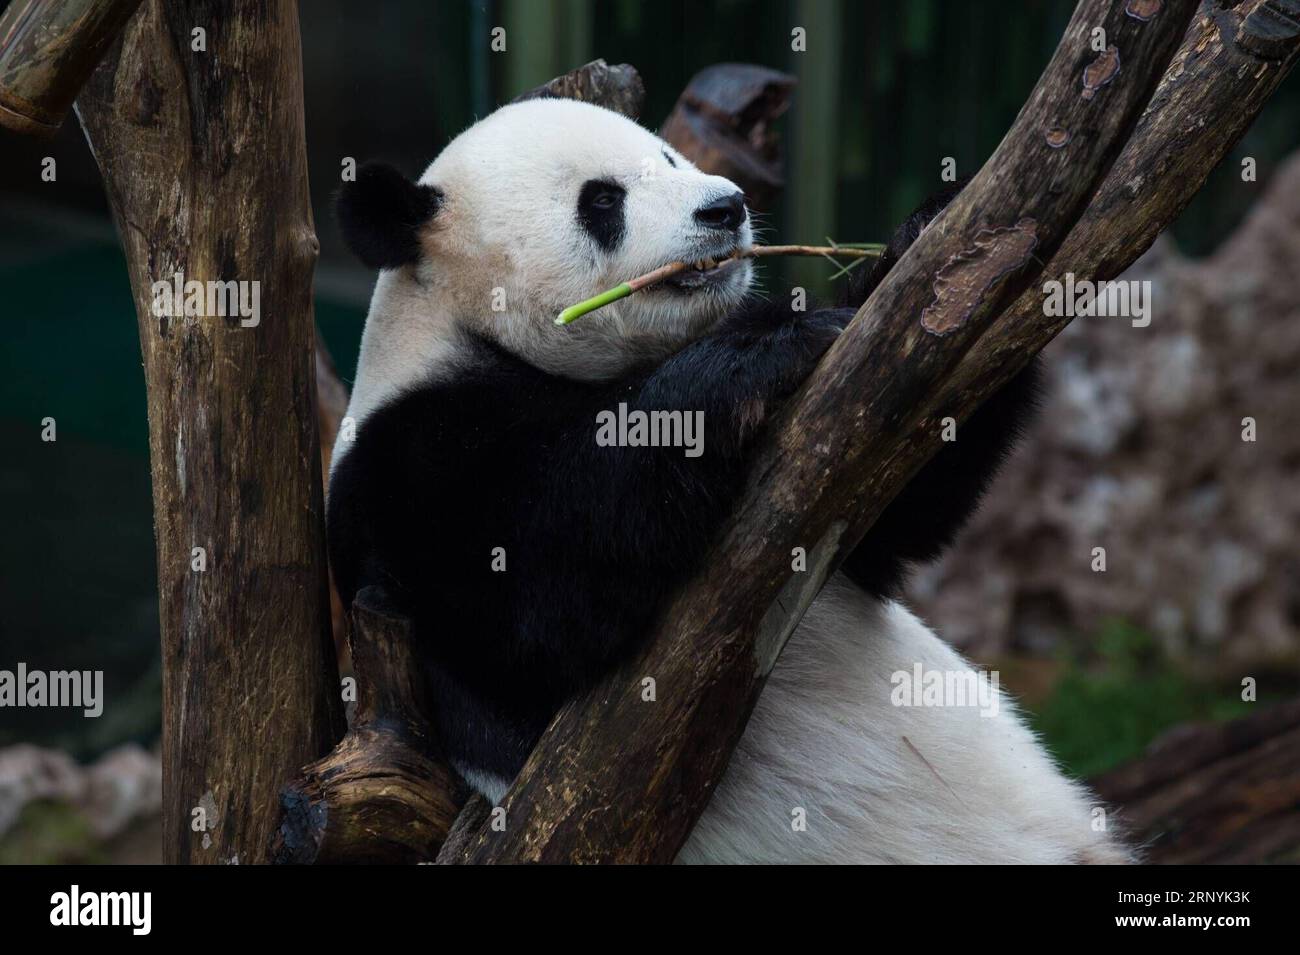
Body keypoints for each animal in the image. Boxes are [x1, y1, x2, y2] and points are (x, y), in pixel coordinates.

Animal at [325, 97, 1128, 867]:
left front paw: (927, 232)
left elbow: (902, 505)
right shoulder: (409, 467)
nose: (725, 207)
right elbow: (540, 597)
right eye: (602, 200)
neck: (464, 331)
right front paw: (766, 347)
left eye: (670, 156)